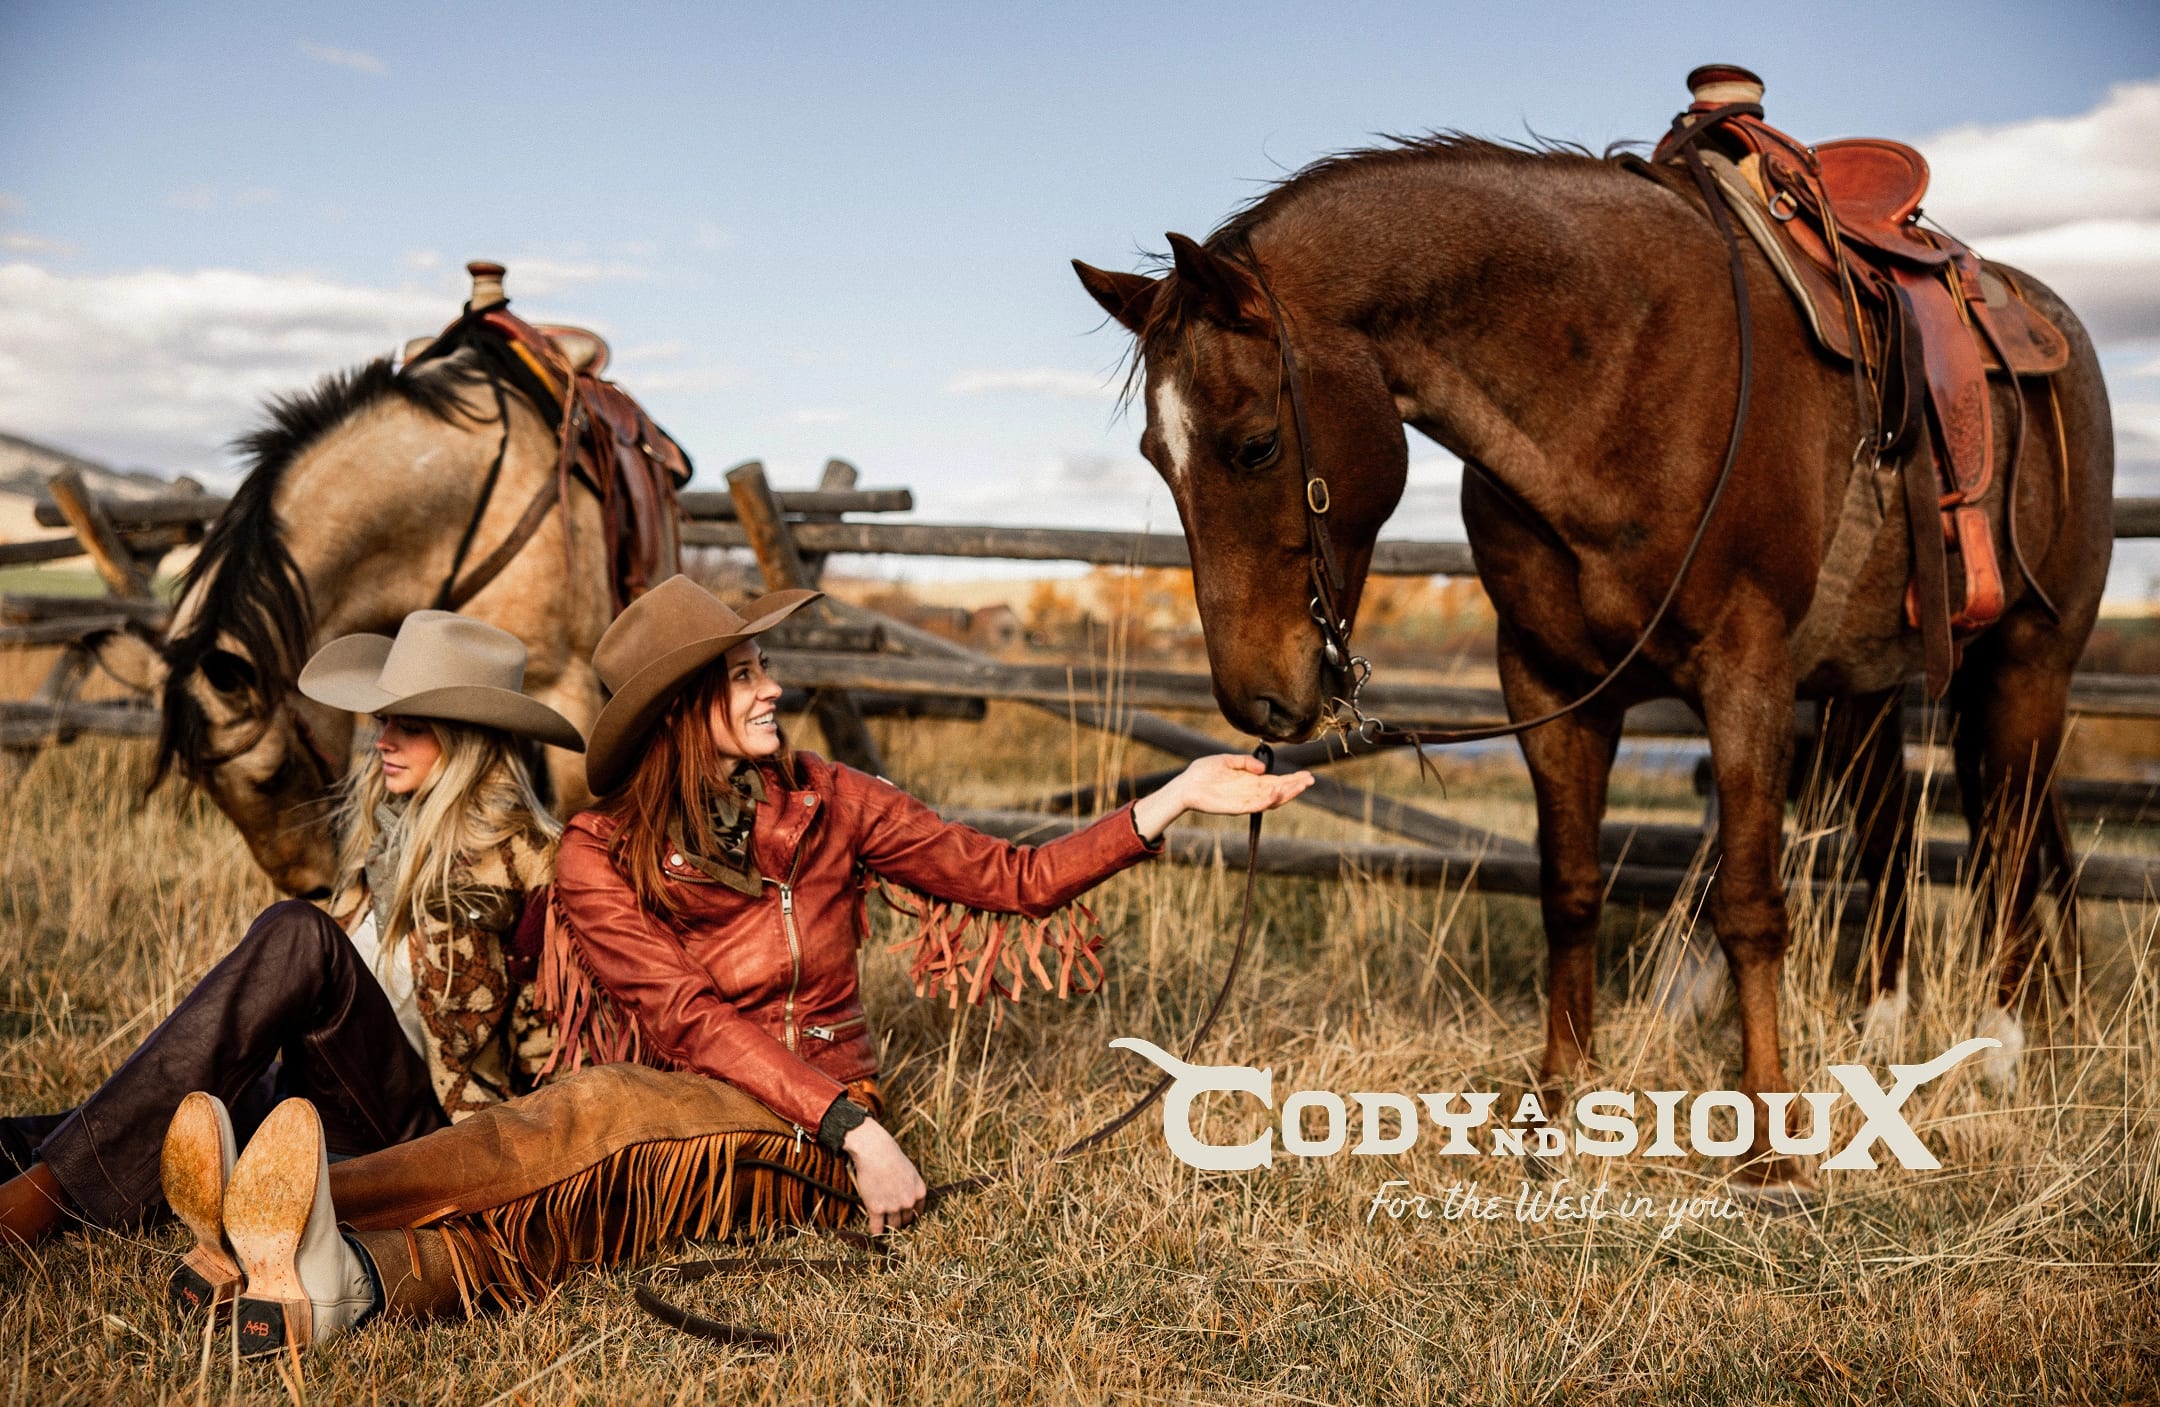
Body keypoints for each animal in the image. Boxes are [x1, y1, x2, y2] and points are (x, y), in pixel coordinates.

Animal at [1071, 125, 2112, 1173]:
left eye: (1255, 445)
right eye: (1160, 460)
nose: (1257, 700)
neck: (1620, 378)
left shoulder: (1748, 677)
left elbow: (1749, 906)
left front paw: (1768, 1141)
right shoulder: (1550, 686)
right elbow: (1569, 890)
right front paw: (1558, 1098)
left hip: (2028, 667)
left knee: (2010, 841)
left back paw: (2003, 1049)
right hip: (1869, 688)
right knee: (1893, 835)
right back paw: (1884, 1029)